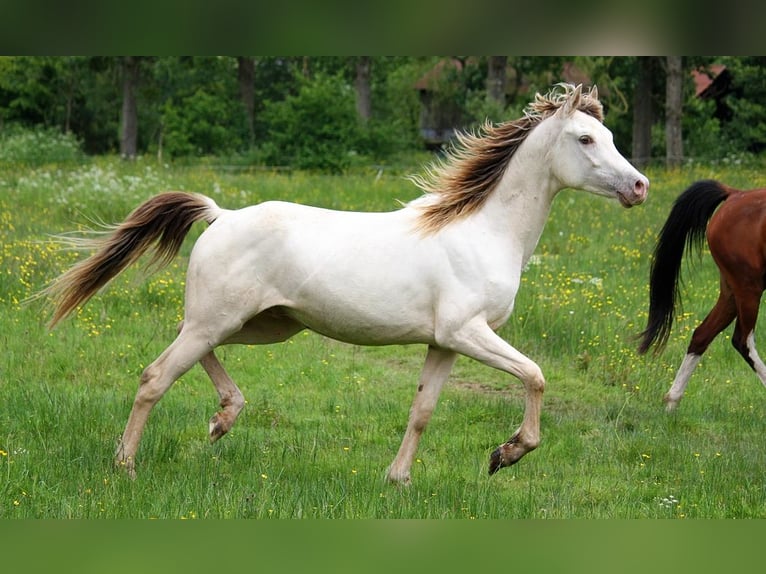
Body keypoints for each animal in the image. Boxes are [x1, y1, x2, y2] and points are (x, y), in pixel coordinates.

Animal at [45, 83, 648, 484]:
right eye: (585, 139)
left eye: (609, 135)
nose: (640, 187)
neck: (484, 230)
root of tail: (221, 214)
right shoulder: (468, 332)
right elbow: (536, 376)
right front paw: (507, 452)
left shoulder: (444, 343)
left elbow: (423, 411)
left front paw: (398, 480)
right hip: (223, 321)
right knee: (155, 376)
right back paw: (126, 464)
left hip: (260, 324)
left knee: (186, 347)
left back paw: (223, 418)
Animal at [640, 180, 766, 410]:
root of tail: (735, 194)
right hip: (748, 287)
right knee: (742, 341)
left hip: (733, 291)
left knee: (702, 335)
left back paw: (672, 402)